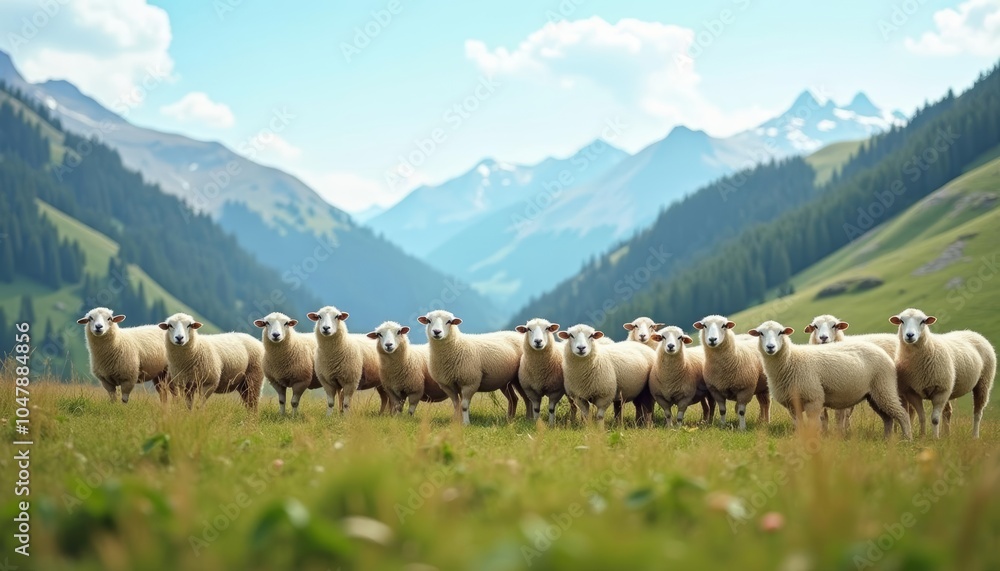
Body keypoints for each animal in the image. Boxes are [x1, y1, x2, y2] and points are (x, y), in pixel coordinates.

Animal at [748, 320, 912, 440]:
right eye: (760, 333)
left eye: (781, 332)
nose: (770, 347)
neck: (791, 360)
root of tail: (883, 353)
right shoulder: (792, 404)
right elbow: (799, 424)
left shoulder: (813, 399)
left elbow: (814, 424)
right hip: (873, 395)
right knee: (887, 418)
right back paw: (887, 439)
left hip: (884, 386)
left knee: (902, 414)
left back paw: (907, 439)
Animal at [890, 308, 996, 438]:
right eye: (901, 321)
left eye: (923, 321)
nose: (910, 335)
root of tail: (974, 333)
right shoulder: (912, 392)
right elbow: (922, 417)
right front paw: (922, 436)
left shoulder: (941, 390)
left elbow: (935, 419)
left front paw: (935, 438)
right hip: (950, 387)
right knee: (948, 412)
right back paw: (947, 435)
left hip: (983, 382)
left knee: (978, 412)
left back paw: (975, 436)